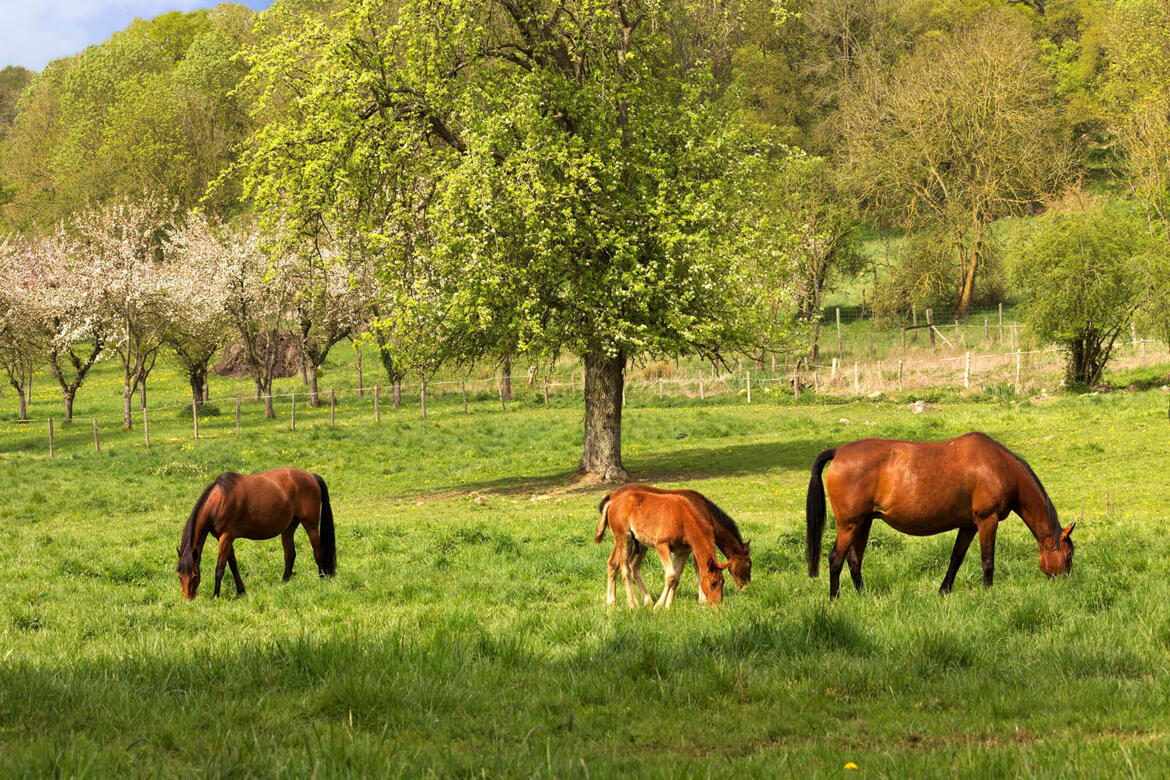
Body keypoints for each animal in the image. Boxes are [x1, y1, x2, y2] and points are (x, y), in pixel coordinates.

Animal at [175, 467, 336, 603]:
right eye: (179, 575)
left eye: (195, 576)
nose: (188, 599)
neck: (220, 500)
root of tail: (311, 476)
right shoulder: (226, 539)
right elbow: (233, 566)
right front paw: (240, 592)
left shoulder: (226, 538)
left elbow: (220, 569)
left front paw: (215, 596)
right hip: (289, 528)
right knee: (290, 554)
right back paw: (284, 583)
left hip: (310, 525)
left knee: (318, 551)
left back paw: (321, 580)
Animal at [603, 481, 748, 598]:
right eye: (748, 564)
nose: (745, 587)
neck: (704, 511)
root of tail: (612, 496)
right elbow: (698, 570)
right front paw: (702, 599)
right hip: (625, 540)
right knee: (615, 564)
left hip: (639, 544)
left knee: (628, 565)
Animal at [809, 430, 1071, 603]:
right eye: (1068, 556)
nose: (1065, 587)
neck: (998, 467)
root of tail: (839, 452)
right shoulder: (987, 520)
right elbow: (988, 560)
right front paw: (989, 593)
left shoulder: (969, 525)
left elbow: (956, 558)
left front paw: (944, 591)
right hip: (849, 525)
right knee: (835, 559)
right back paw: (834, 600)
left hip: (863, 523)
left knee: (854, 560)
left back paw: (862, 596)